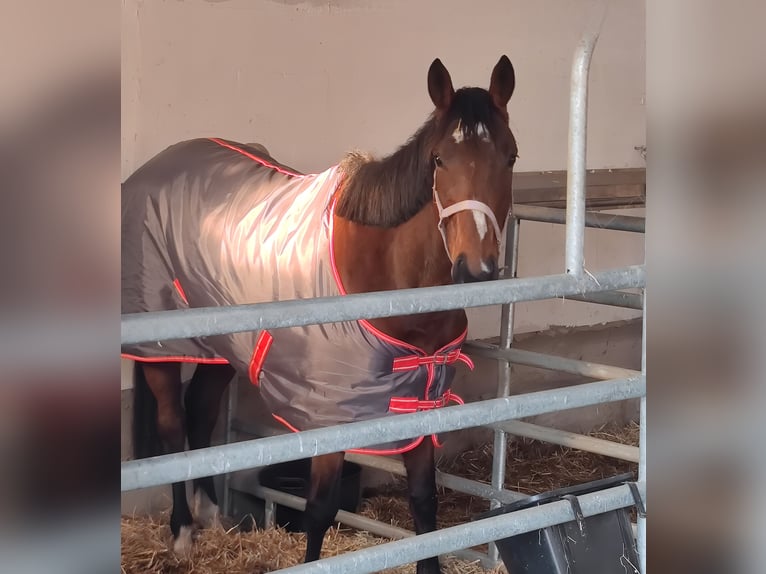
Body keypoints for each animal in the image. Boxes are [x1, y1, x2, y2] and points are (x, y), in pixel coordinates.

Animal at [122, 55, 518, 574]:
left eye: (510, 157)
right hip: (162, 351)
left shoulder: (417, 404)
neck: (389, 279)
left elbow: (423, 502)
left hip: (224, 350)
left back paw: (211, 516)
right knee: (172, 426)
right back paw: (184, 533)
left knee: (201, 414)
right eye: (438, 159)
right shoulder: (329, 414)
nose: (476, 269)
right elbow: (320, 509)